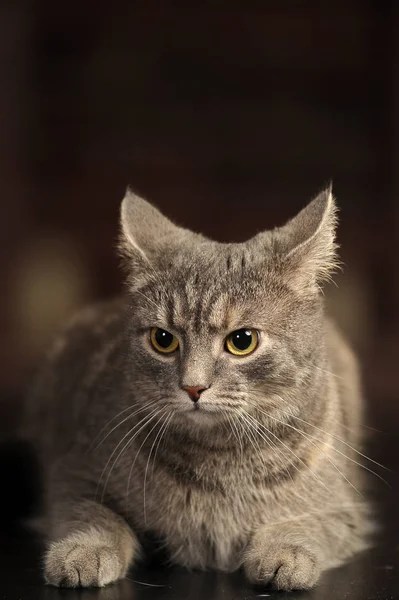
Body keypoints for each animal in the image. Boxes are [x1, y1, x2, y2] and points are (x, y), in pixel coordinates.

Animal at [23, 188, 372, 592]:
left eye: (242, 341)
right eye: (163, 340)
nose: (193, 386)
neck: (221, 461)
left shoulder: (344, 508)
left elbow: (305, 524)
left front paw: (286, 554)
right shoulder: (74, 474)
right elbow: (94, 515)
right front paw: (83, 552)